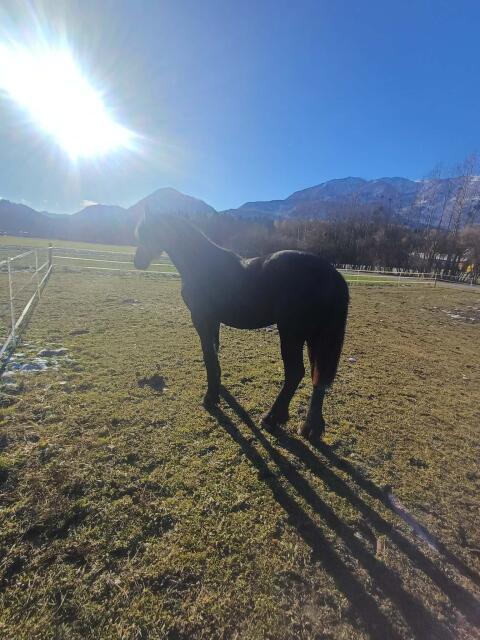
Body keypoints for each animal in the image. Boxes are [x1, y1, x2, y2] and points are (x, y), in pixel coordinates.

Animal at [134, 210, 349, 441]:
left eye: (147, 231)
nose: (138, 262)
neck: (201, 263)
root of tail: (332, 274)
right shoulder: (213, 320)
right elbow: (214, 352)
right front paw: (217, 388)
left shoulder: (201, 318)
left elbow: (208, 355)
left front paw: (210, 398)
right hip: (315, 337)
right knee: (318, 377)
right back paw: (309, 427)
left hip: (292, 334)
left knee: (295, 373)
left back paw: (271, 419)